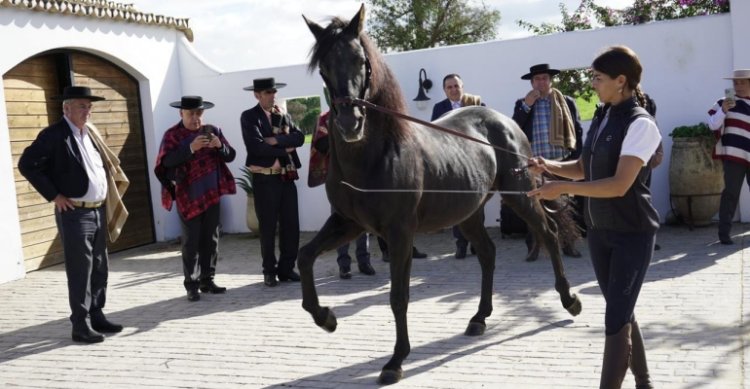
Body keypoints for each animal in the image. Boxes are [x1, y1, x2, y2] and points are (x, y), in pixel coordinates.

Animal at [298, 4, 580, 384]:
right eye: (324, 65)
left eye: (360, 60)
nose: (348, 123)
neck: (376, 155)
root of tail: (505, 122)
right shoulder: (349, 224)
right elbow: (304, 256)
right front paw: (326, 317)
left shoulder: (400, 232)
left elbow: (398, 296)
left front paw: (395, 361)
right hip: (470, 212)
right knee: (488, 253)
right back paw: (479, 318)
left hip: (519, 195)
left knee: (548, 235)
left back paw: (569, 301)